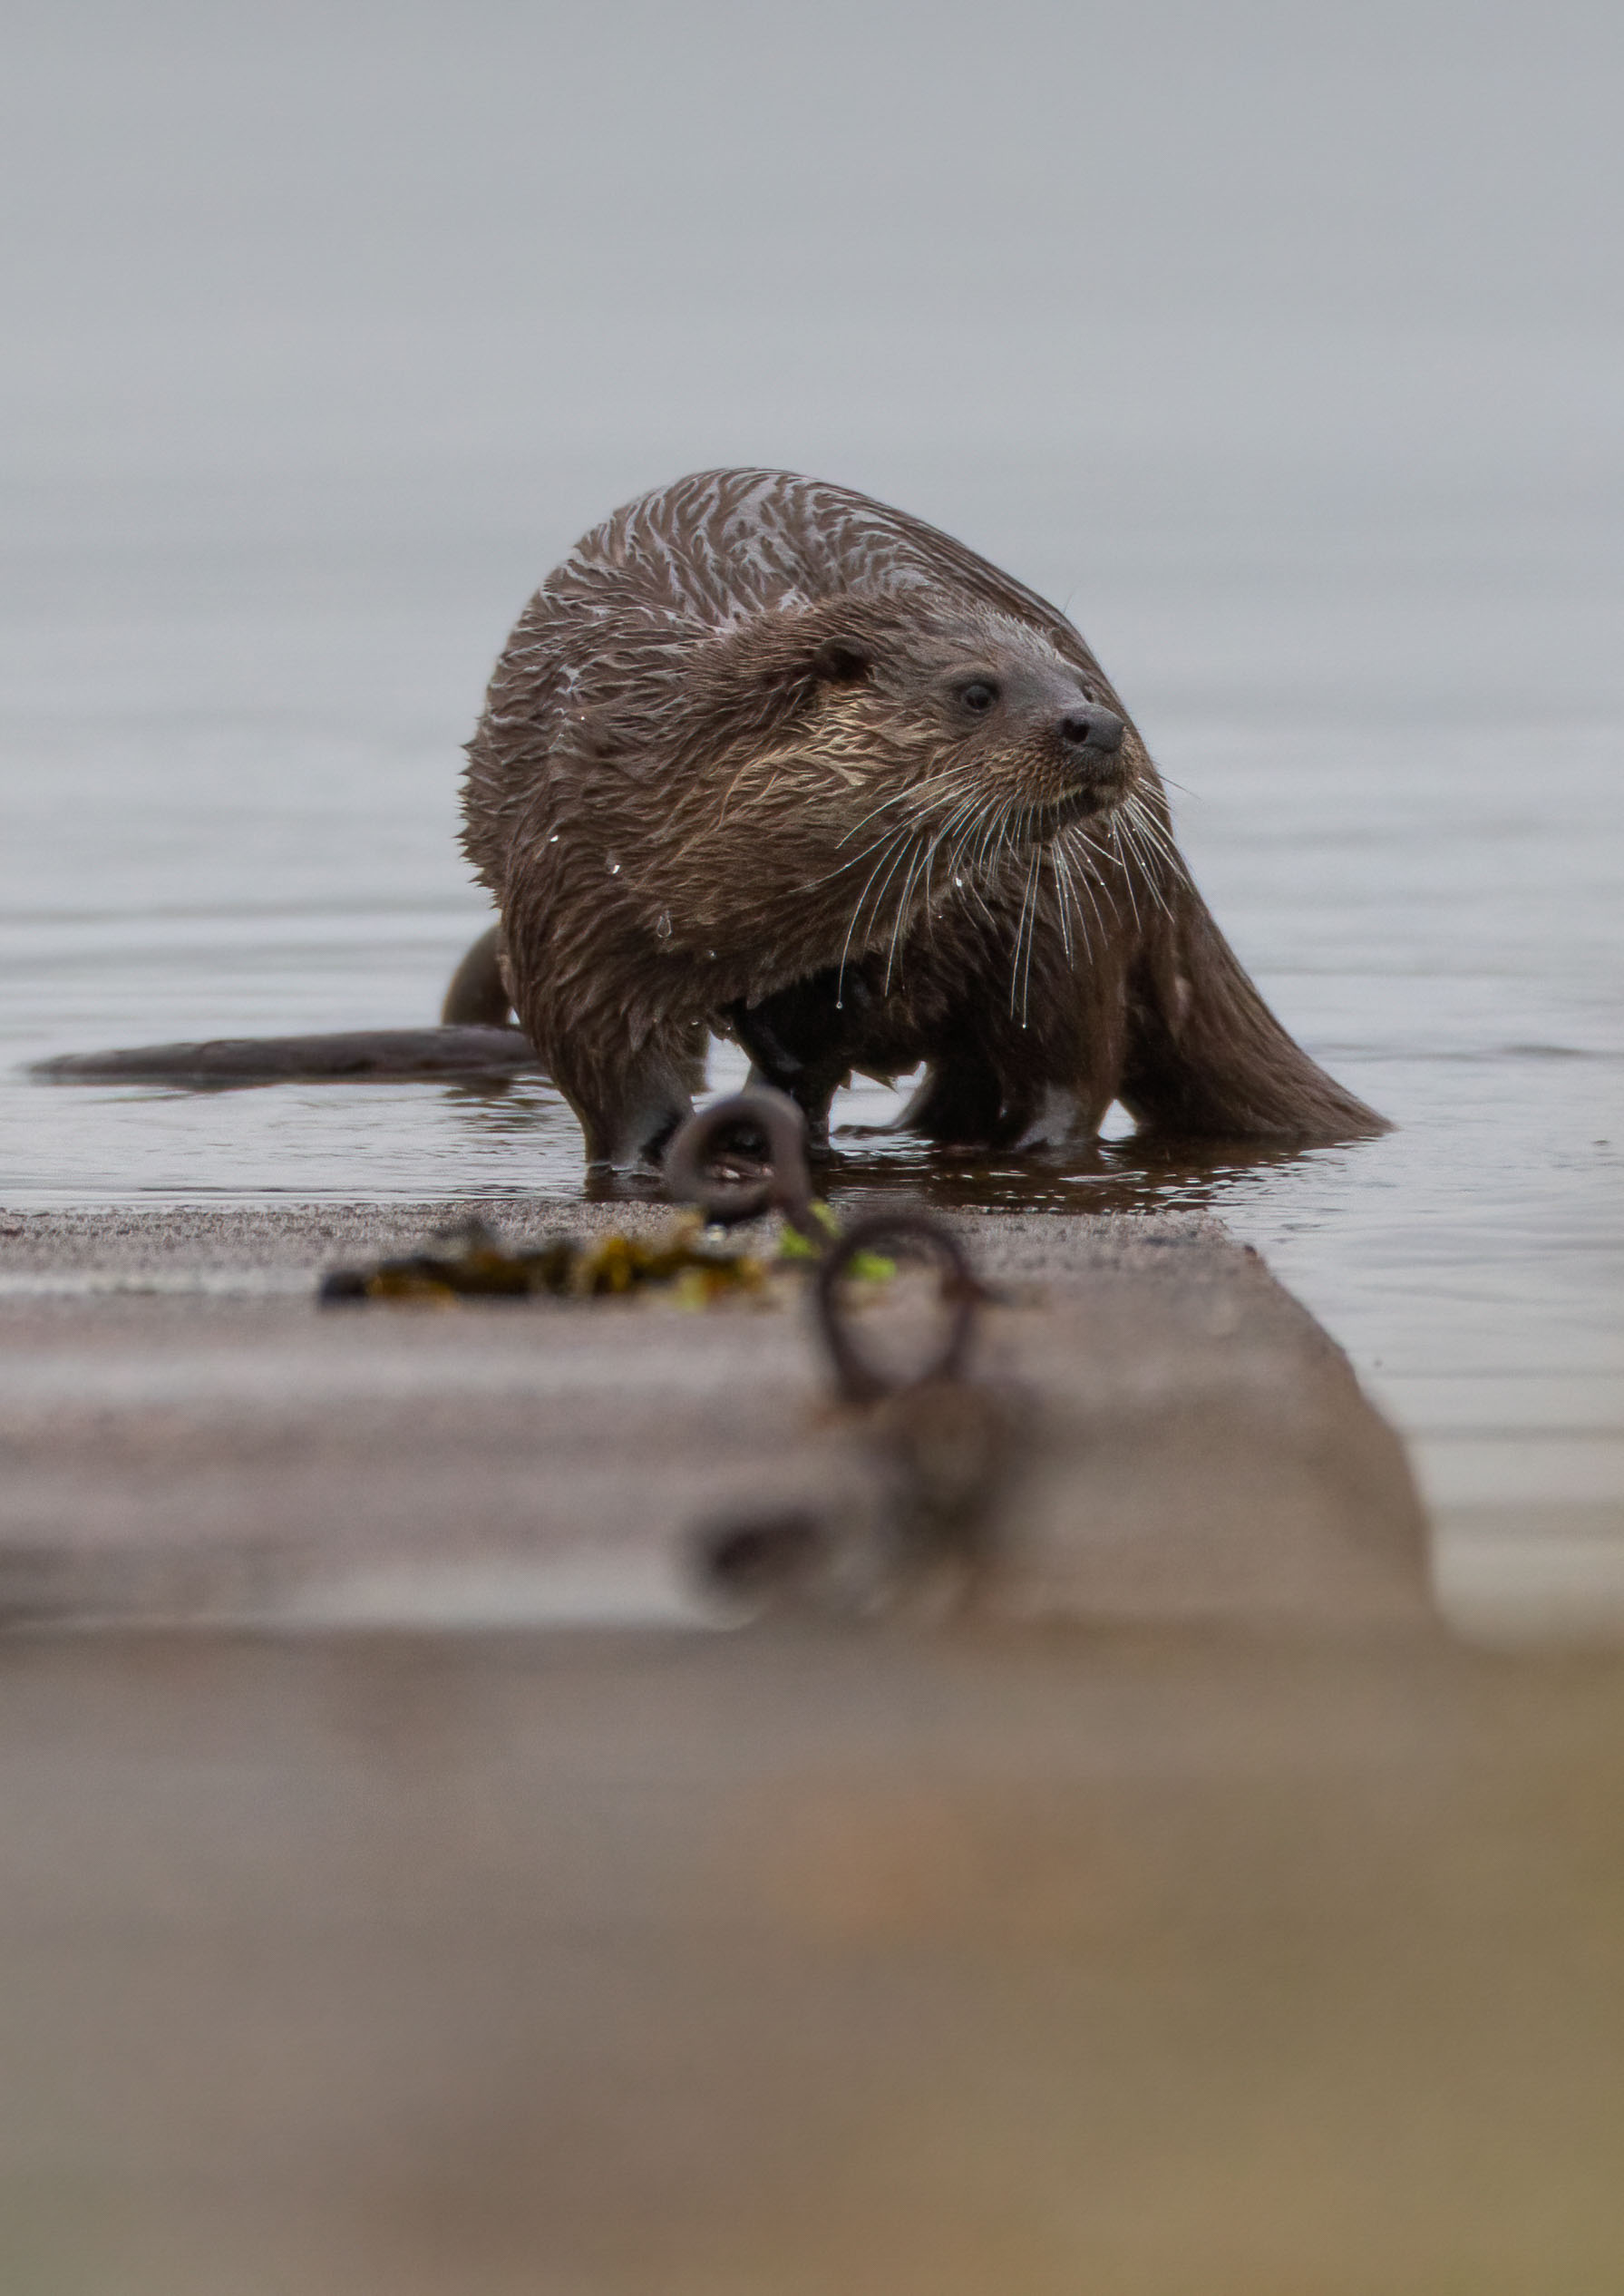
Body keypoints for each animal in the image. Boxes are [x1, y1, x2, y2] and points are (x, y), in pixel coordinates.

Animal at [458, 468, 1384, 1167]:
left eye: (1078, 683)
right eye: (975, 691)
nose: (1096, 725)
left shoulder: (883, 939)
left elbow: (827, 1036)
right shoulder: (561, 900)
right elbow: (611, 1080)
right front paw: (654, 1157)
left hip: (1066, 916)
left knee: (1065, 1063)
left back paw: (1015, 1147)